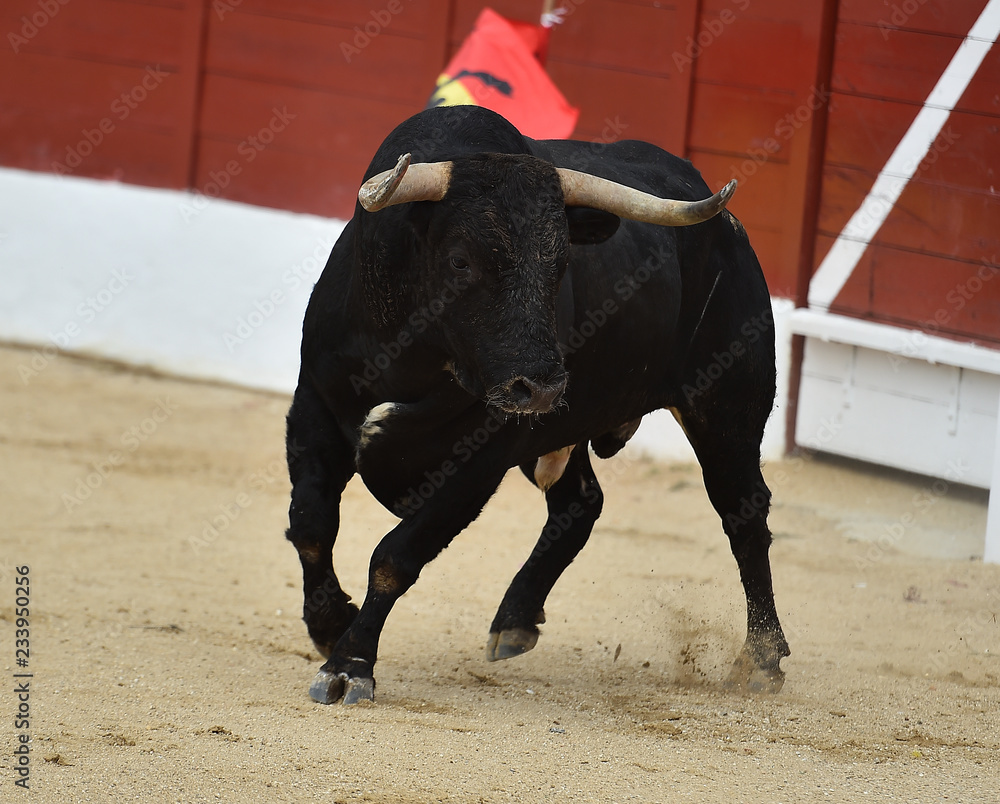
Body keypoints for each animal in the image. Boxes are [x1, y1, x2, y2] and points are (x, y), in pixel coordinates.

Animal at [284, 107, 788, 704]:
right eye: (460, 261)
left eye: (560, 264)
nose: (543, 387)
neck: (413, 347)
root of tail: (727, 228)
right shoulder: (314, 404)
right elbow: (311, 523)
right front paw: (330, 626)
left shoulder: (480, 460)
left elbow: (395, 556)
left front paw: (349, 664)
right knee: (582, 504)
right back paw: (514, 621)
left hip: (727, 413)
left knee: (745, 514)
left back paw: (761, 659)